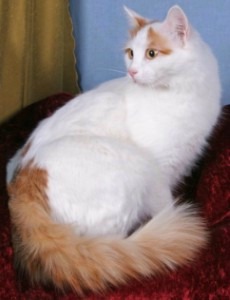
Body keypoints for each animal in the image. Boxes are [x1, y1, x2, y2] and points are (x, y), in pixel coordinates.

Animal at [6, 4, 220, 296]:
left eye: (151, 53)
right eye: (131, 53)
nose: (132, 72)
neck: (180, 94)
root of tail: (22, 185)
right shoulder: (159, 173)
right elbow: (166, 207)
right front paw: (173, 219)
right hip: (130, 169)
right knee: (109, 244)